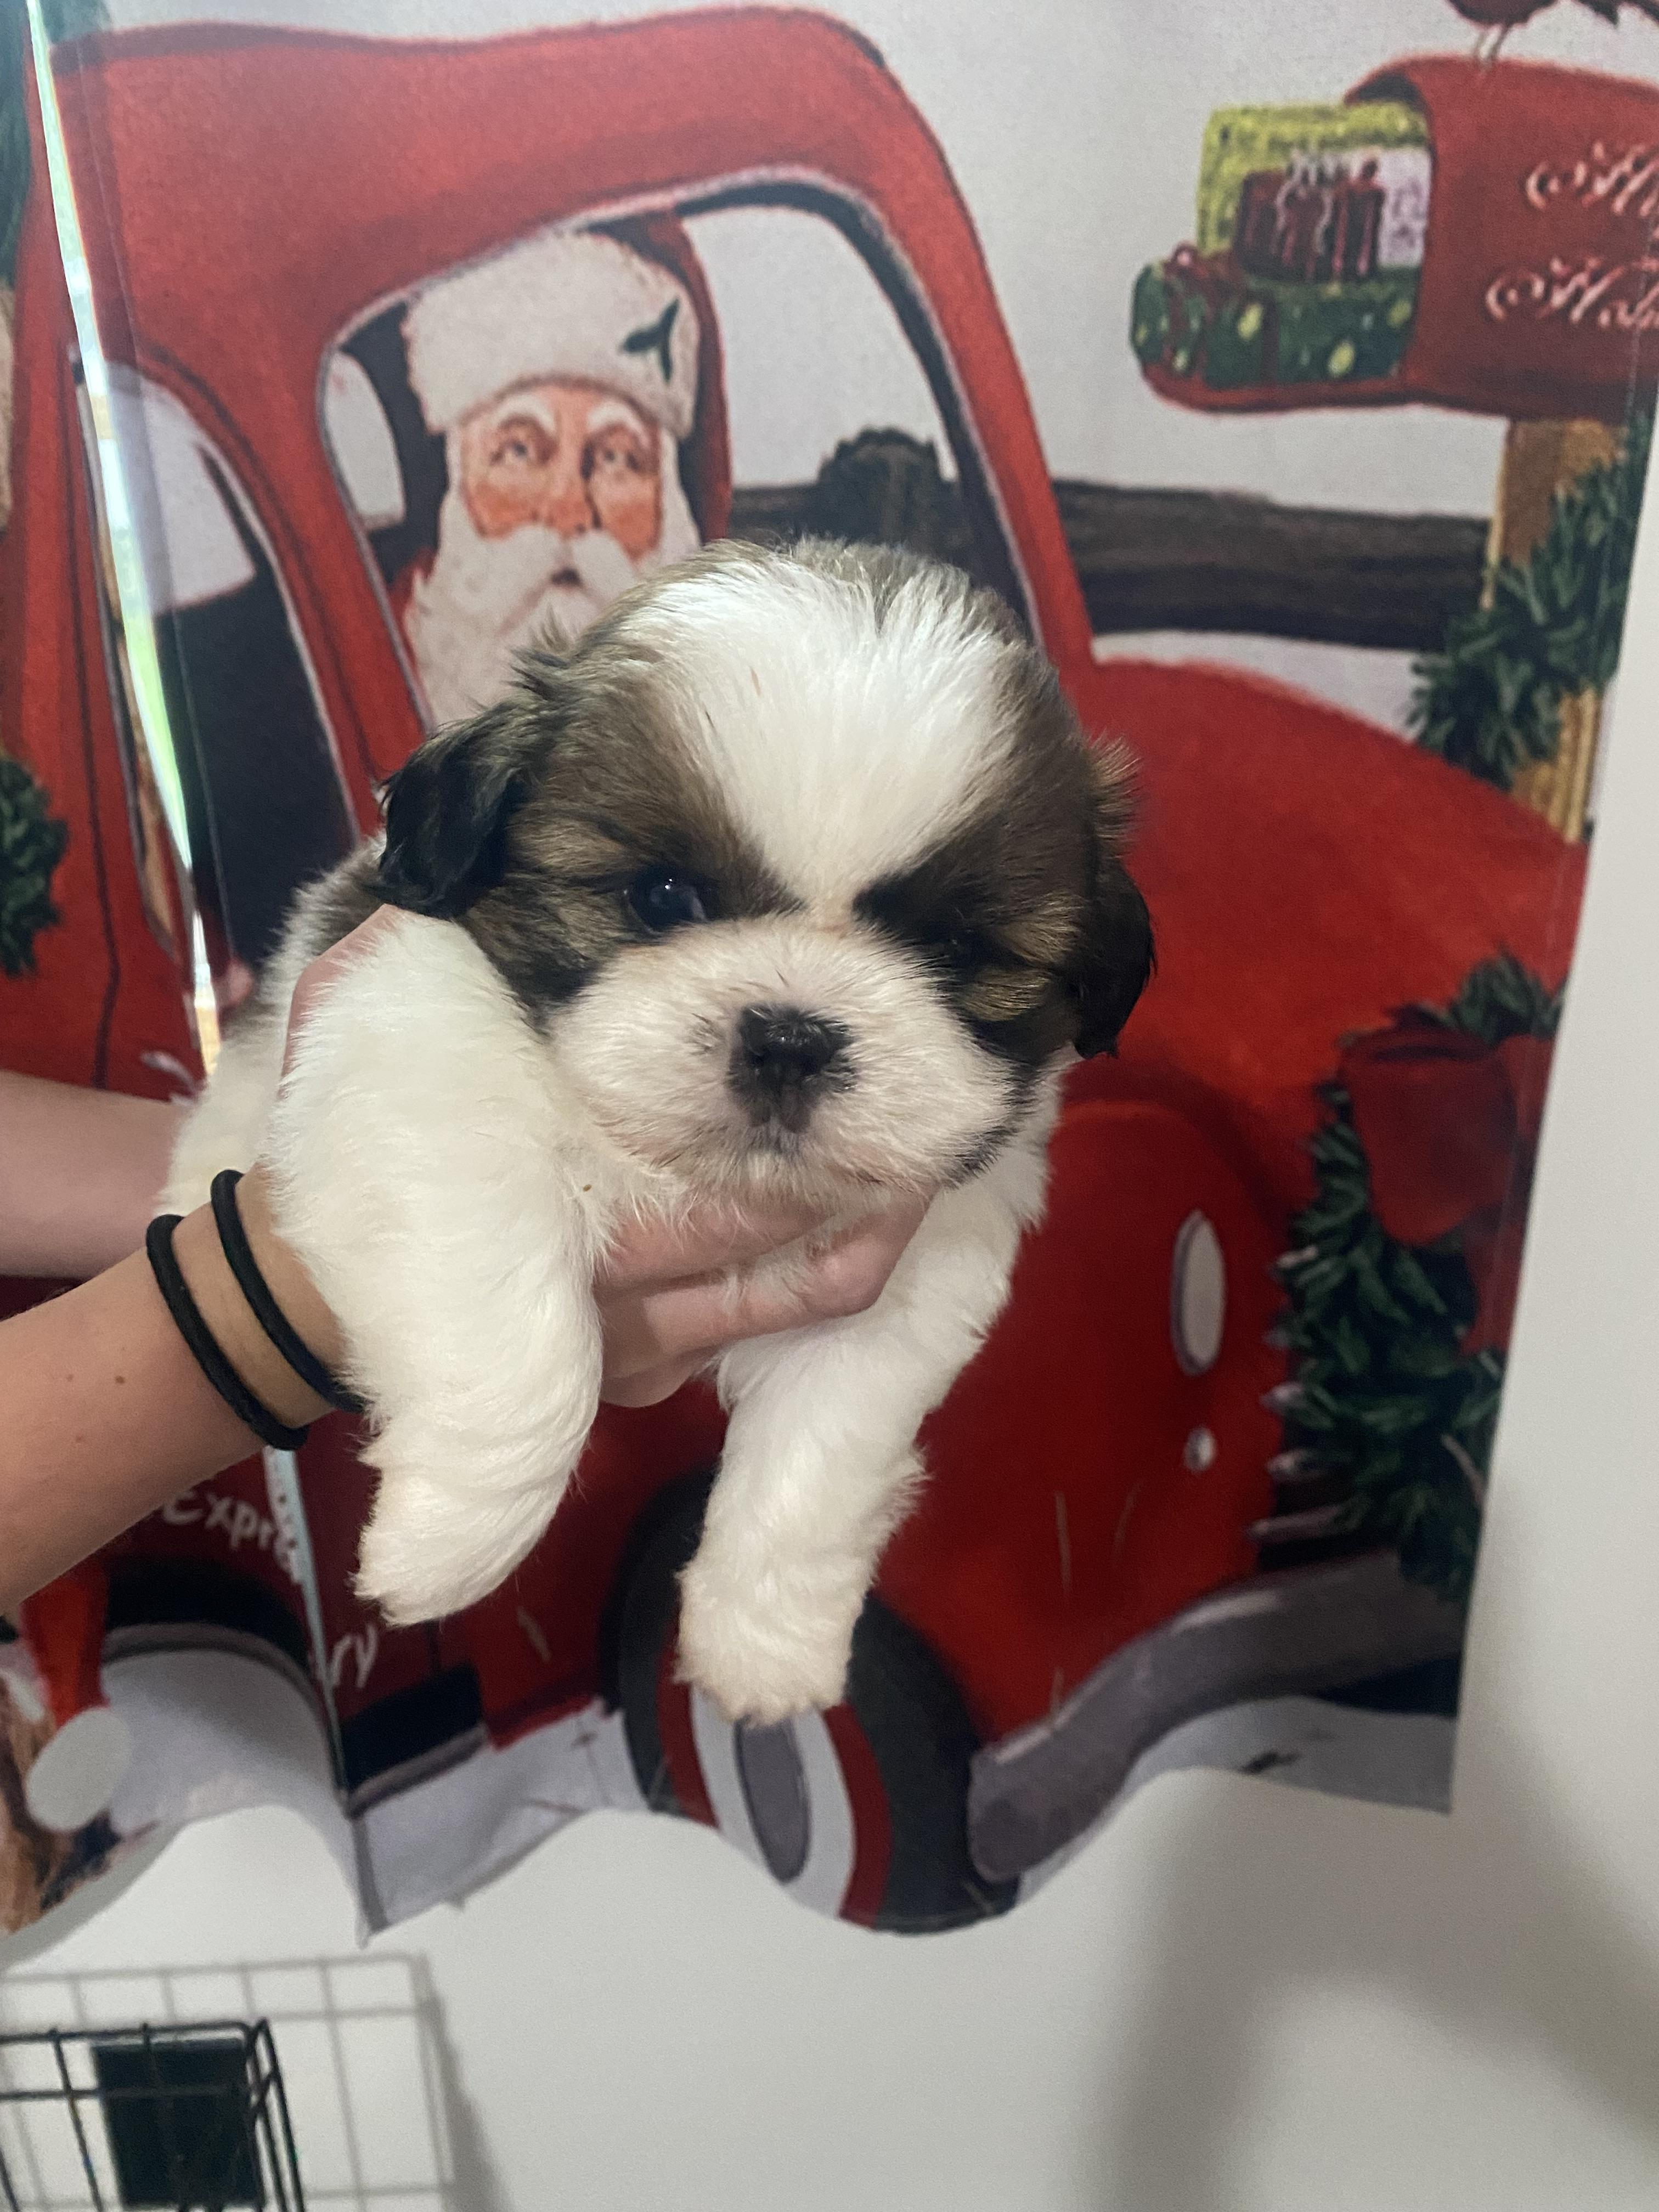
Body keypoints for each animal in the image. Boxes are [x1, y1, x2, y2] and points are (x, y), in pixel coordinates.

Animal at [163, 538, 1153, 1724]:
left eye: (953, 950)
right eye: (661, 896)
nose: (788, 1035)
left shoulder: (911, 1270)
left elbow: (820, 1457)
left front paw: (764, 1644)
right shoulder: (417, 1067)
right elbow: (517, 1334)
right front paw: (450, 1533)